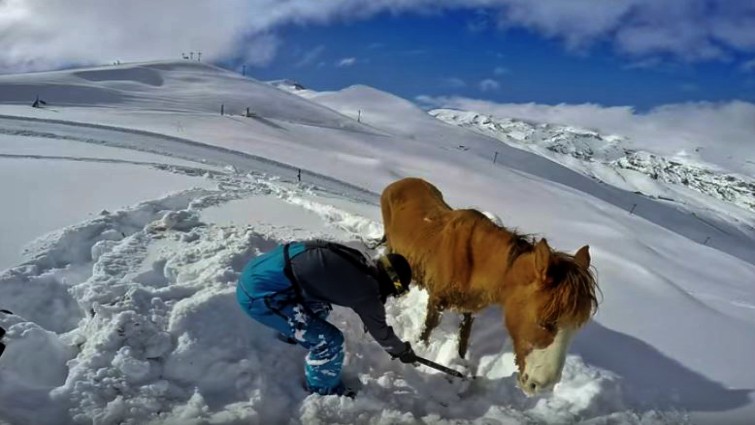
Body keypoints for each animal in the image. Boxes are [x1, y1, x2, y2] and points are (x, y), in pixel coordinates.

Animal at [380, 177, 598, 395]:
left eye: (575, 329)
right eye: (545, 322)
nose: (542, 386)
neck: (473, 264)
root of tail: (398, 183)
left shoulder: (469, 309)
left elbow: (464, 339)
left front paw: (460, 365)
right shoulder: (436, 302)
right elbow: (428, 329)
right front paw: (419, 352)